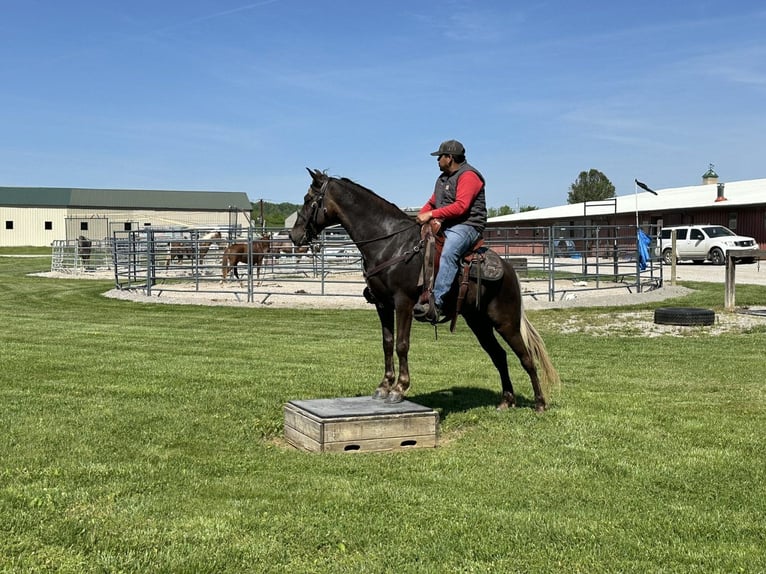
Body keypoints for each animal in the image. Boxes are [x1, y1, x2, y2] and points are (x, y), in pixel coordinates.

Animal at [292, 169, 560, 412]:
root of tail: (509, 269)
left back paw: (540, 403)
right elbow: (387, 343)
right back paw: (506, 401)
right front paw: (384, 386)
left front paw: (399, 388)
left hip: (505, 321)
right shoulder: (382, 304)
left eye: (308, 199)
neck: (389, 243)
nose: (294, 235)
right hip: (479, 322)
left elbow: (402, 344)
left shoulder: (404, 303)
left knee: (526, 357)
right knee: (499, 355)